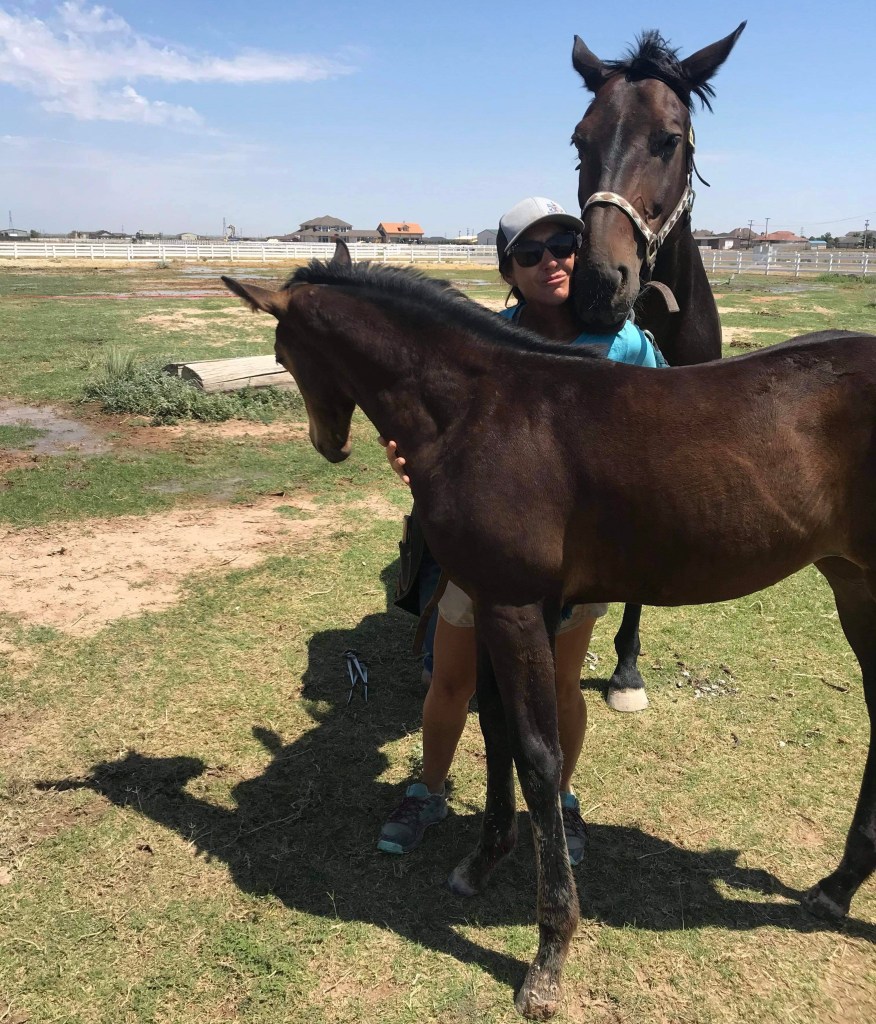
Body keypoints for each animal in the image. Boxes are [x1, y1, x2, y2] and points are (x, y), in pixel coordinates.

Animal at [223, 244, 876, 1019]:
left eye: (281, 356)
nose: (328, 446)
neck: (477, 410)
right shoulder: (494, 604)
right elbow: (496, 731)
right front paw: (483, 860)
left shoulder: (513, 606)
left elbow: (537, 754)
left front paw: (549, 954)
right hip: (854, 583)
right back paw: (837, 887)